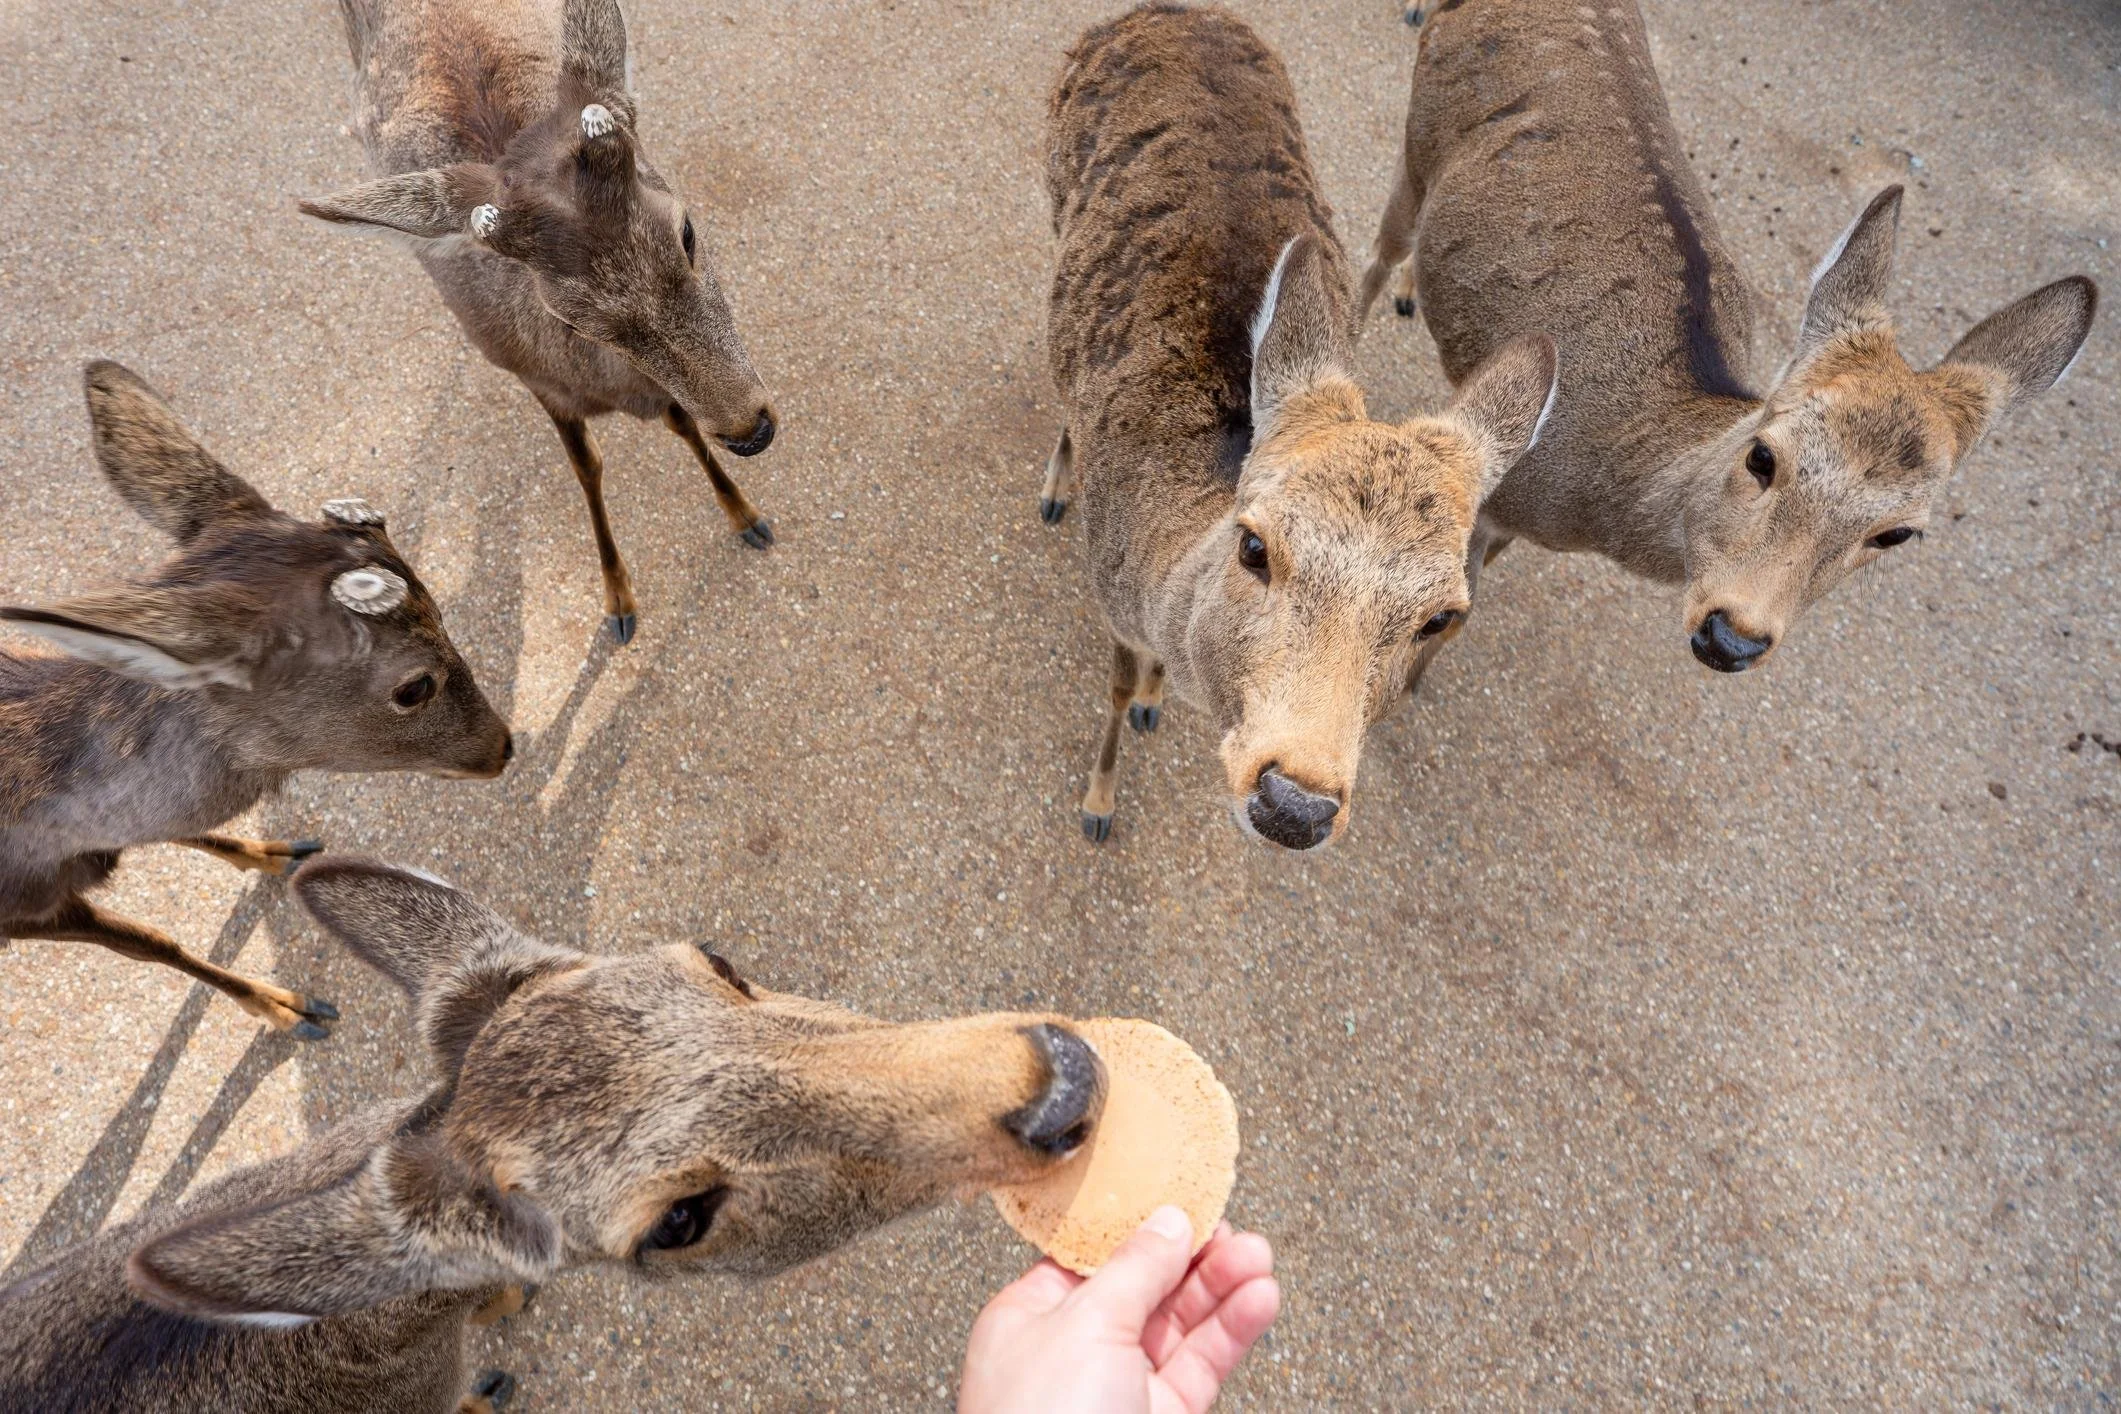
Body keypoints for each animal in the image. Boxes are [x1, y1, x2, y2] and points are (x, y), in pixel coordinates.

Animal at [0, 362, 512, 1039]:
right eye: (413, 687)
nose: (504, 746)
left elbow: (186, 835)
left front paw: (272, 853)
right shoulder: (22, 914)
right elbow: (151, 942)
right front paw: (289, 1008)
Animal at [300, 0, 779, 646]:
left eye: (687, 231)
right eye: (568, 317)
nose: (750, 430)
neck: (618, 393)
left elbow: (682, 424)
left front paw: (747, 515)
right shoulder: (539, 381)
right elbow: (587, 468)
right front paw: (618, 601)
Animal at [1039, 3, 1558, 850]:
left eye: (1442, 616)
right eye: (1254, 546)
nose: (1293, 803)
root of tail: (1166, 12)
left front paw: (1151, 705)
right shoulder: (1112, 592)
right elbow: (1113, 695)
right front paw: (1098, 803)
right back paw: (1058, 479)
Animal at [1360, 0, 2097, 674]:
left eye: (1898, 534)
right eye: (1762, 457)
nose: (1731, 637)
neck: (1595, 502)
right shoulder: (1504, 496)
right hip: (1416, 140)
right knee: (1379, 246)